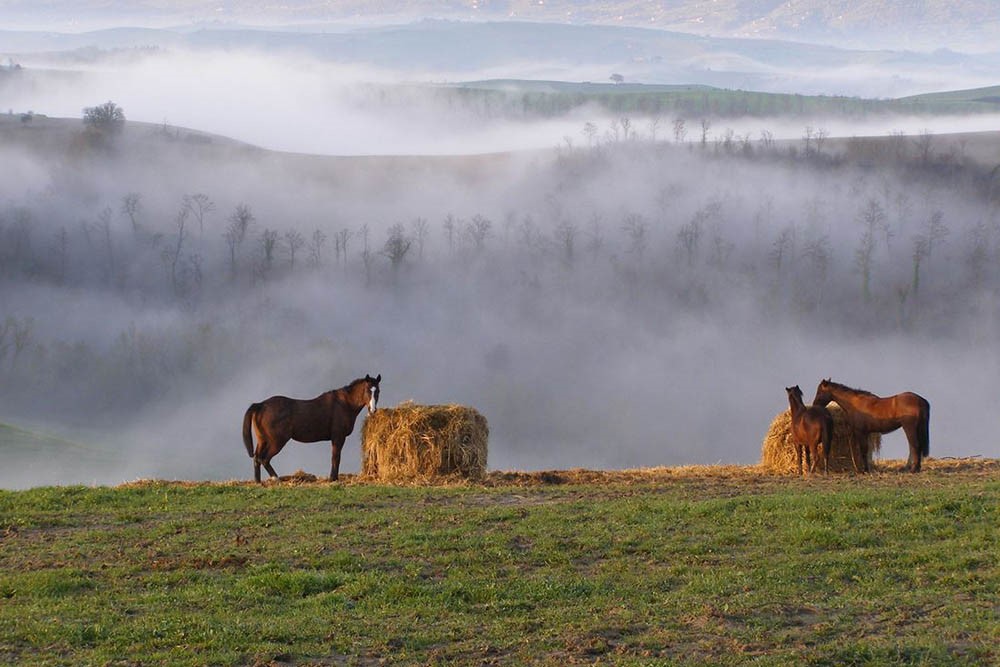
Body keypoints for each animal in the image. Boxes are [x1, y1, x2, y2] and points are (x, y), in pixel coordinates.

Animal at [244, 374, 380, 482]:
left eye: (378, 391)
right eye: (367, 390)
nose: (373, 410)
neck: (344, 404)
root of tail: (261, 405)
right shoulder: (338, 437)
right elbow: (336, 457)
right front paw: (333, 478)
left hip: (262, 440)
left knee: (257, 458)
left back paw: (258, 482)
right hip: (277, 441)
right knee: (264, 459)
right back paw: (276, 479)